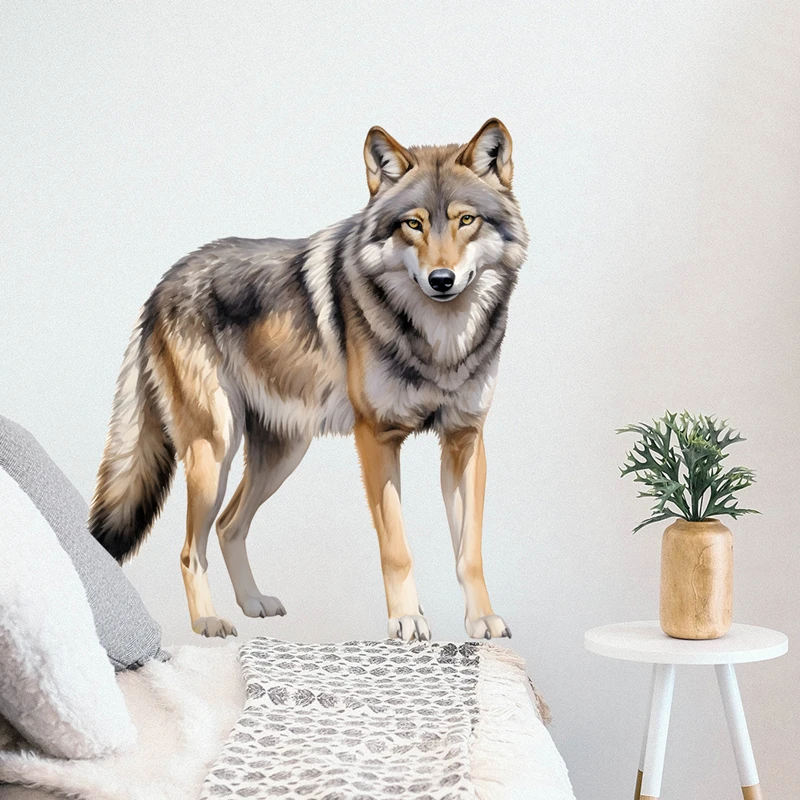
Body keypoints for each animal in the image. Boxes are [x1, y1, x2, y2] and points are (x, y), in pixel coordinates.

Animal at [89, 119, 529, 642]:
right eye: (413, 224)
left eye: (466, 221)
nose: (441, 279)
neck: (441, 343)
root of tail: (160, 286)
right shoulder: (376, 438)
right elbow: (397, 548)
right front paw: (406, 620)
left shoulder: (465, 439)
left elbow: (470, 552)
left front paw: (482, 621)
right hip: (214, 451)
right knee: (191, 549)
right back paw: (208, 621)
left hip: (282, 453)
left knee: (229, 525)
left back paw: (252, 603)